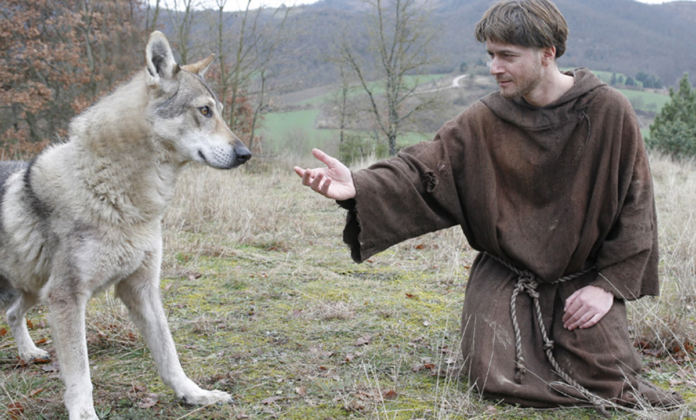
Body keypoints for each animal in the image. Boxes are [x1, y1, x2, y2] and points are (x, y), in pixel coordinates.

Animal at [0, 31, 250, 418]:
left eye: (220, 111)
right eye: (204, 111)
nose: (245, 154)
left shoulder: (141, 288)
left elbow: (169, 354)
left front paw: (194, 394)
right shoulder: (67, 298)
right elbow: (80, 374)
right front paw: (84, 414)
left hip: (32, 289)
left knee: (13, 313)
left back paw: (28, 353)